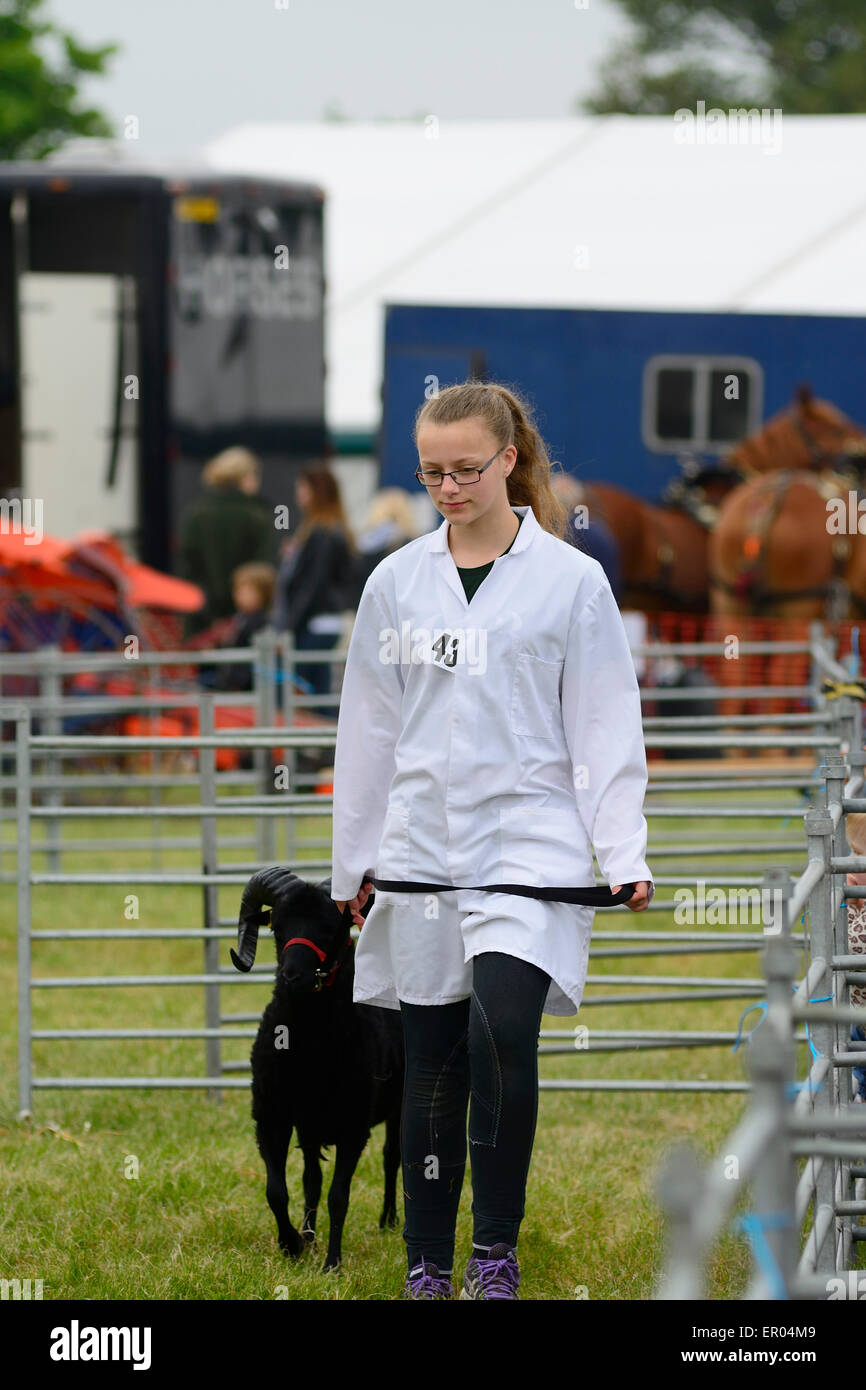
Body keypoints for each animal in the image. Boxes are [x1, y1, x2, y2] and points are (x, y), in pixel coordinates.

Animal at [230, 867, 405, 1273]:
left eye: (331, 928)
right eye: (277, 926)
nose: (294, 976)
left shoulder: (353, 1127)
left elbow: (338, 1196)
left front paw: (332, 1265)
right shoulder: (272, 1118)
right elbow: (277, 1191)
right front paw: (292, 1244)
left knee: (392, 1156)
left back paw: (388, 1221)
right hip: (309, 1124)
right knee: (312, 1177)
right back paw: (309, 1236)